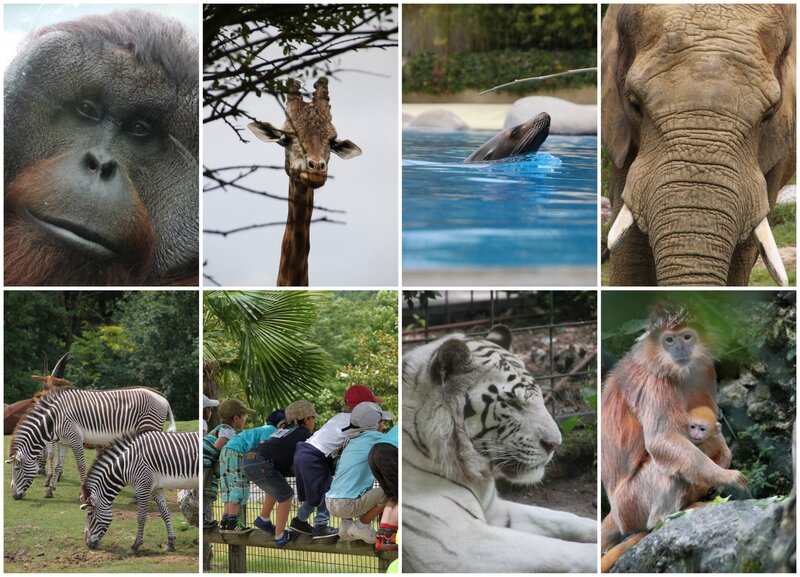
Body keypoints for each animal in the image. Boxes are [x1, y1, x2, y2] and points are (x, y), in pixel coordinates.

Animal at [7, 384, 173, 498]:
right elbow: (59, 466)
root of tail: (164, 399)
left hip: (149, 428)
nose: (14, 496)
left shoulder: (75, 439)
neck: (54, 418)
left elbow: (81, 466)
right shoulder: (63, 442)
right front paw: (50, 490)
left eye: (16, 469)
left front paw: (81, 494)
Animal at [404, 324, 596, 572]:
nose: (555, 444)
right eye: (512, 403)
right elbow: (560, 551)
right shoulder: (456, 544)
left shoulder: (496, 511)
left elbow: (563, 518)